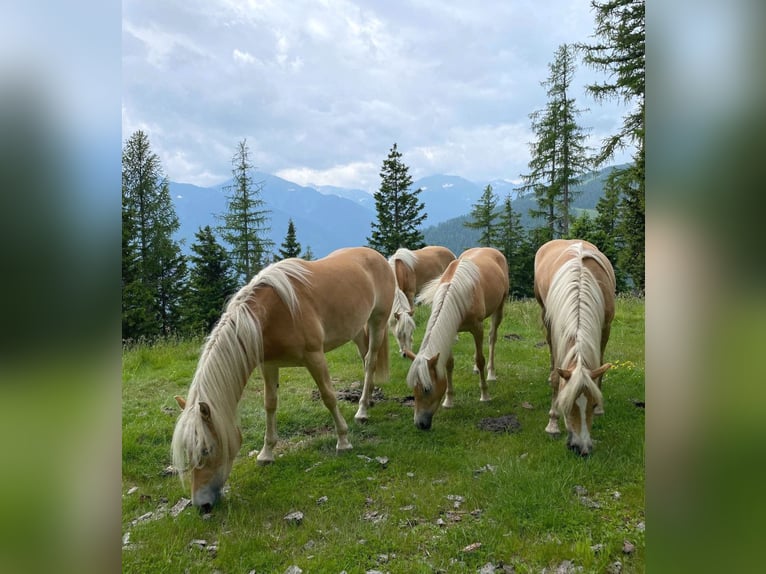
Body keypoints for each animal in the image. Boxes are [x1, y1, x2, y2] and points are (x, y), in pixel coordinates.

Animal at [170, 245, 392, 510]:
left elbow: (328, 396)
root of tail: (376, 256)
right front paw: (266, 454)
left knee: (370, 362)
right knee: (364, 357)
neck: (271, 314)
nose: (201, 505)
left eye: (205, 450)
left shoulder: (314, 357)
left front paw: (343, 441)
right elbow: (270, 404)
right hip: (357, 328)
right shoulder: (269, 365)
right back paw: (368, 401)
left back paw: (362, 410)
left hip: (378, 321)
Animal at [402, 248, 510, 432]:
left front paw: (485, 395)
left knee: (492, 338)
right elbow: (448, 364)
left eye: (427, 389)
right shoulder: (450, 330)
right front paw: (449, 401)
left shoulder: (477, 328)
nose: (420, 424)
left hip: (499, 308)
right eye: (413, 389)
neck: (456, 291)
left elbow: (480, 359)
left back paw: (491, 373)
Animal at [536, 237, 620, 454]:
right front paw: (552, 423)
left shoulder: (605, 327)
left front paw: (600, 409)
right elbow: (557, 376)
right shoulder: (556, 330)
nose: (581, 448)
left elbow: (599, 366)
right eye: (566, 405)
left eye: (592, 404)